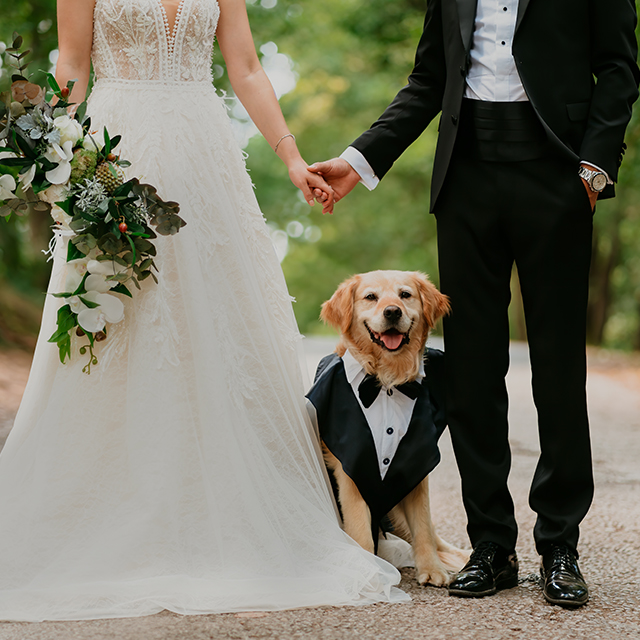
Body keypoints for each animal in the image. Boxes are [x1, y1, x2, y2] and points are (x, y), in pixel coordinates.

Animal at [308, 270, 468, 584]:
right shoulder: (350, 472)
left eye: (405, 295)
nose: (392, 312)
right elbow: (360, 530)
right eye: (371, 297)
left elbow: (423, 527)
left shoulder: (416, 469)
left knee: (437, 539)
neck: (386, 382)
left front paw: (432, 569)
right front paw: (371, 576)